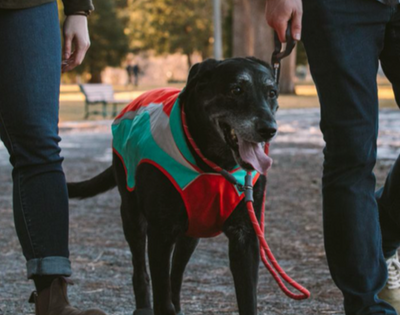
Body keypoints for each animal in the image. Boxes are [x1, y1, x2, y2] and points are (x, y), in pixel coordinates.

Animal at [68, 57, 278, 315]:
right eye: (236, 90)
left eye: (271, 93)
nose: (269, 129)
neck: (212, 165)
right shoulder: (160, 232)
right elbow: (161, 292)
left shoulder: (245, 237)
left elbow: (247, 298)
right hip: (132, 216)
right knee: (141, 269)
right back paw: (143, 307)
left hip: (192, 231)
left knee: (175, 275)